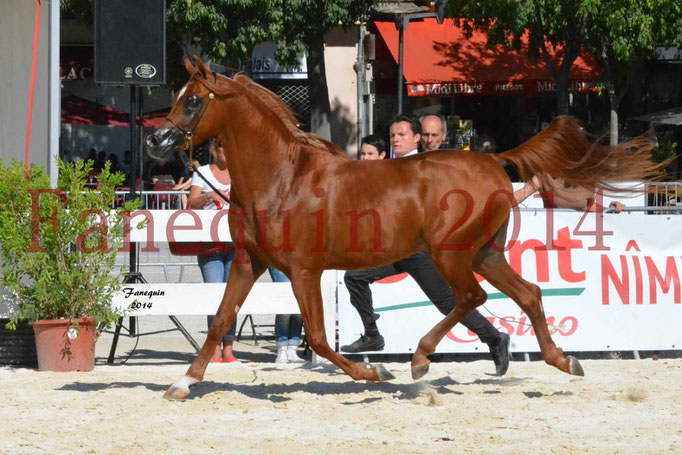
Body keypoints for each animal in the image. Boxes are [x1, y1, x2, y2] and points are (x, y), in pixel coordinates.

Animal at [146, 56, 660, 400]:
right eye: (176, 98)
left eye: (193, 101)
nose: (155, 141)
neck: (282, 178)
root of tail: (493, 159)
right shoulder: (248, 263)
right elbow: (220, 320)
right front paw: (182, 382)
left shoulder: (303, 270)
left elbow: (317, 337)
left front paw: (376, 373)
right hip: (484, 253)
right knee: (528, 293)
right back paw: (562, 360)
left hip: (451, 254)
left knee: (470, 297)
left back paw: (418, 360)